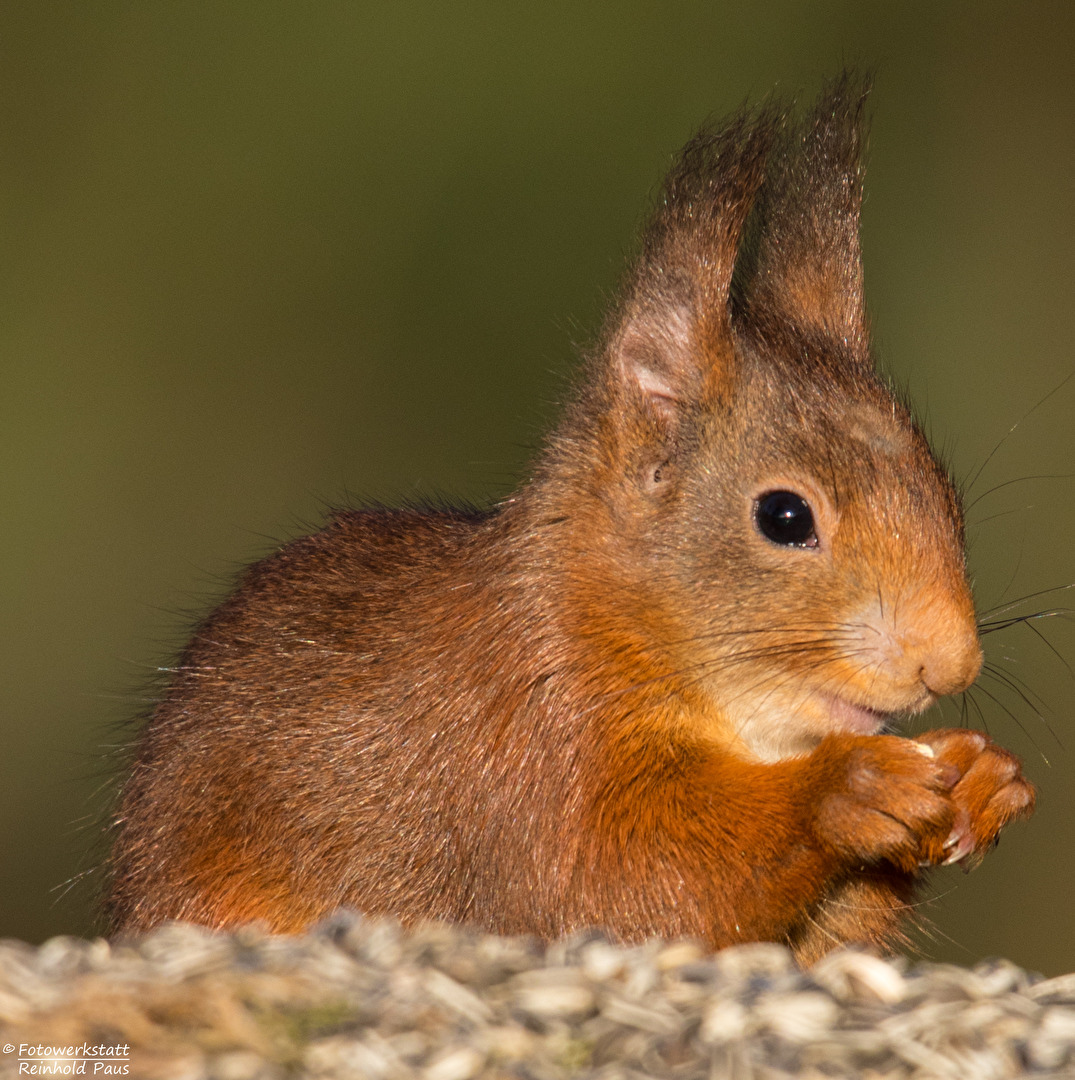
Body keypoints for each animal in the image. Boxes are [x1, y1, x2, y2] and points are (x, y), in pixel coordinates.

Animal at [105, 76, 1037, 963]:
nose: (950, 664)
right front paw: (847, 789)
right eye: (782, 516)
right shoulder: (525, 749)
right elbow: (619, 886)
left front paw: (981, 779)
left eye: (944, 494)